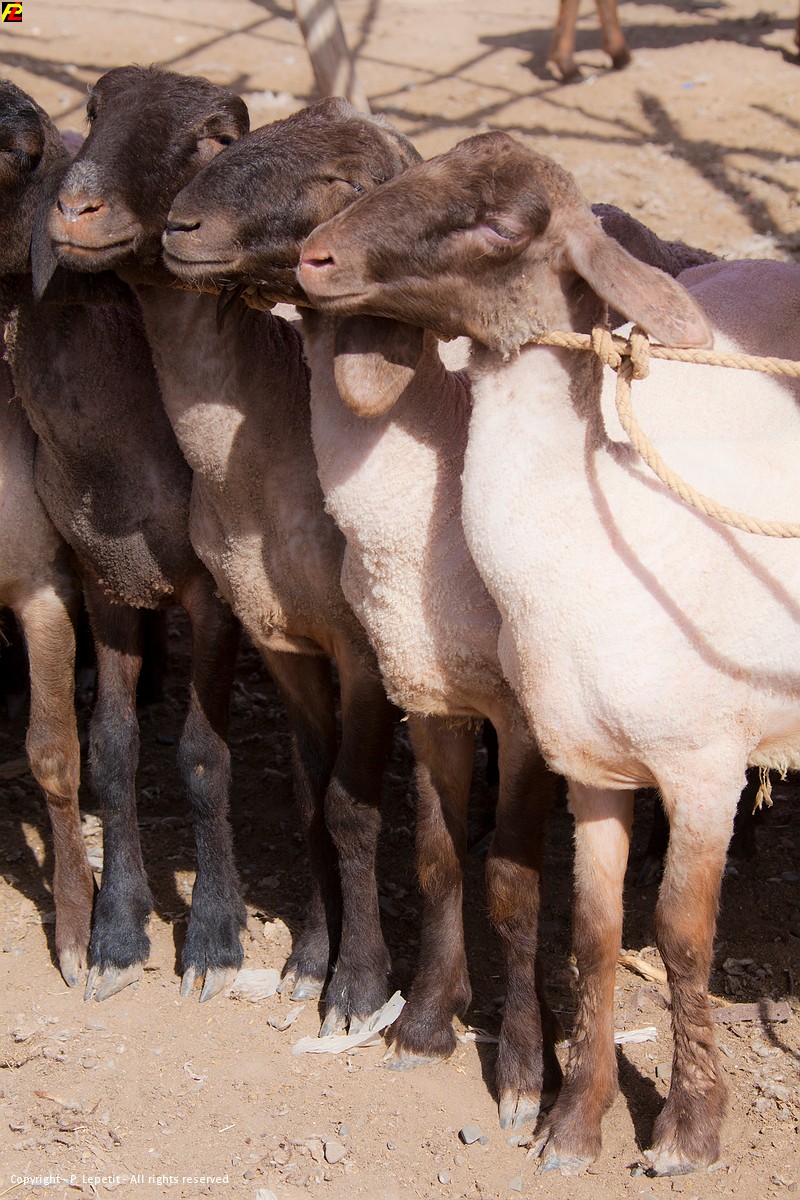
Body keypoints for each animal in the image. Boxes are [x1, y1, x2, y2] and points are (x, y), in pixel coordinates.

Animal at [1, 78, 244, 1003]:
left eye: (215, 139)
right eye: (95, 111)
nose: (77, 208)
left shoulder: (217, 596)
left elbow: (204, 759)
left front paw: (213, 936)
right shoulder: (99, 579)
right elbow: (107, 750)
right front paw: (113, 929)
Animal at [46, 67, 399, 1034]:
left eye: (213, 136)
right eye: (92, 111)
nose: (75, 207)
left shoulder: (348, 647)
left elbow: (335, 804)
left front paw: (351, 985)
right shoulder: (257, 628)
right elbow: (302, 800)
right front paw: (306, 959)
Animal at [159, 97, 566, 1124]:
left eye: (343, 183)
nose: (180, 226)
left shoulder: (437, 684)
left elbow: (445, 857)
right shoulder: (357, 665)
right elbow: (381, 830)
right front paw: (370, 990)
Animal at [294, 130, 800, 1173]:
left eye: (497, 225)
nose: (314, 258)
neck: (586, 527)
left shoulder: (702, 767)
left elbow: (681, 938)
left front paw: (689, 1129)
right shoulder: (592, 767)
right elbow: (596, 936)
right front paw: (574, 1125)